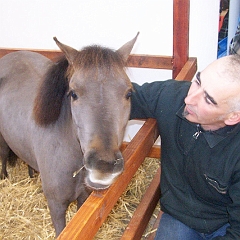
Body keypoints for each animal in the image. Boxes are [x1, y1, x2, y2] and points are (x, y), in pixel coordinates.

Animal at [0, 32, 139, 237]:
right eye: (73, 93)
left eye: (128, 93)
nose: (103, 166)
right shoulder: (56, 207)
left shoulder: (83, 198)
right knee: (3, 155)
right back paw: (4, 178)